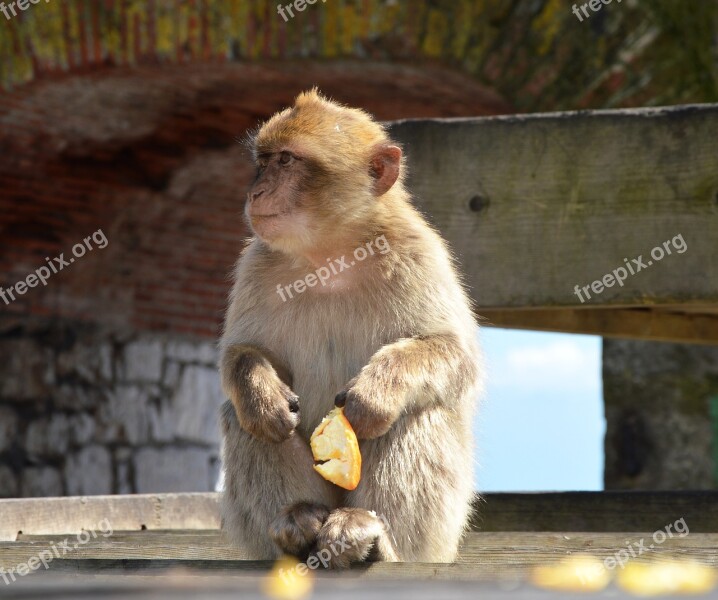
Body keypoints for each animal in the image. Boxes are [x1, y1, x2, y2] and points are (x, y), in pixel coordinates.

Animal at [217, 89, 480, 568]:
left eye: (286, 160)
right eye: (263, 161)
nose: (255, 191)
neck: (331, 257)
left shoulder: (419, 253)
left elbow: (455, 355)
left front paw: (376, 393)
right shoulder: (256, 263)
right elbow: (241, 353)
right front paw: (261, 395)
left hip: (437, 540)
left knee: (420, 411)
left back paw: (372, 539)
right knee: (242, 418)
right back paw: (298, 524)